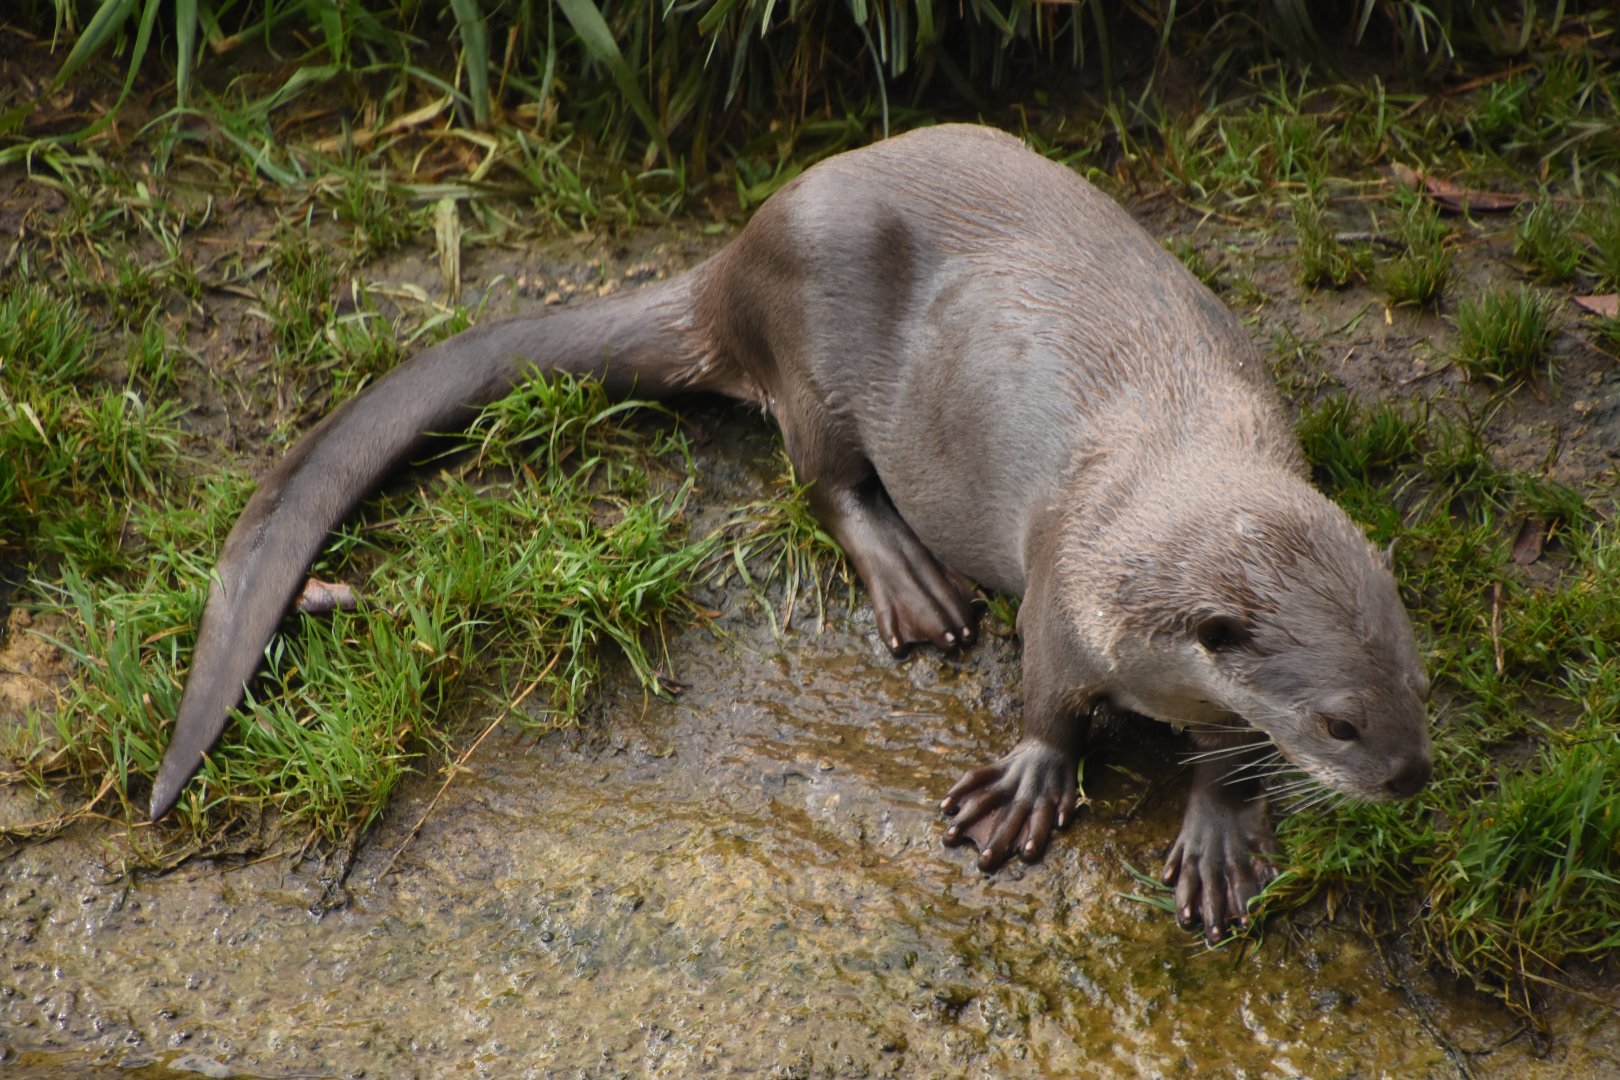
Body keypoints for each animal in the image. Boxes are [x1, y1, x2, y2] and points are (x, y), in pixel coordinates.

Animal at [148, 124, 1431, 942]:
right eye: (1340, 721)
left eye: (1418, 690)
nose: (1412, 780)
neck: (1159, 486)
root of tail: (736, 254)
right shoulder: (1067, 590)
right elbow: (1049, 702)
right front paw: (1025, 787)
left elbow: (1226, 746)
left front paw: (1221, 832)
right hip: (811, 350)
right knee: (820, 477)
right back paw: (913, 584)